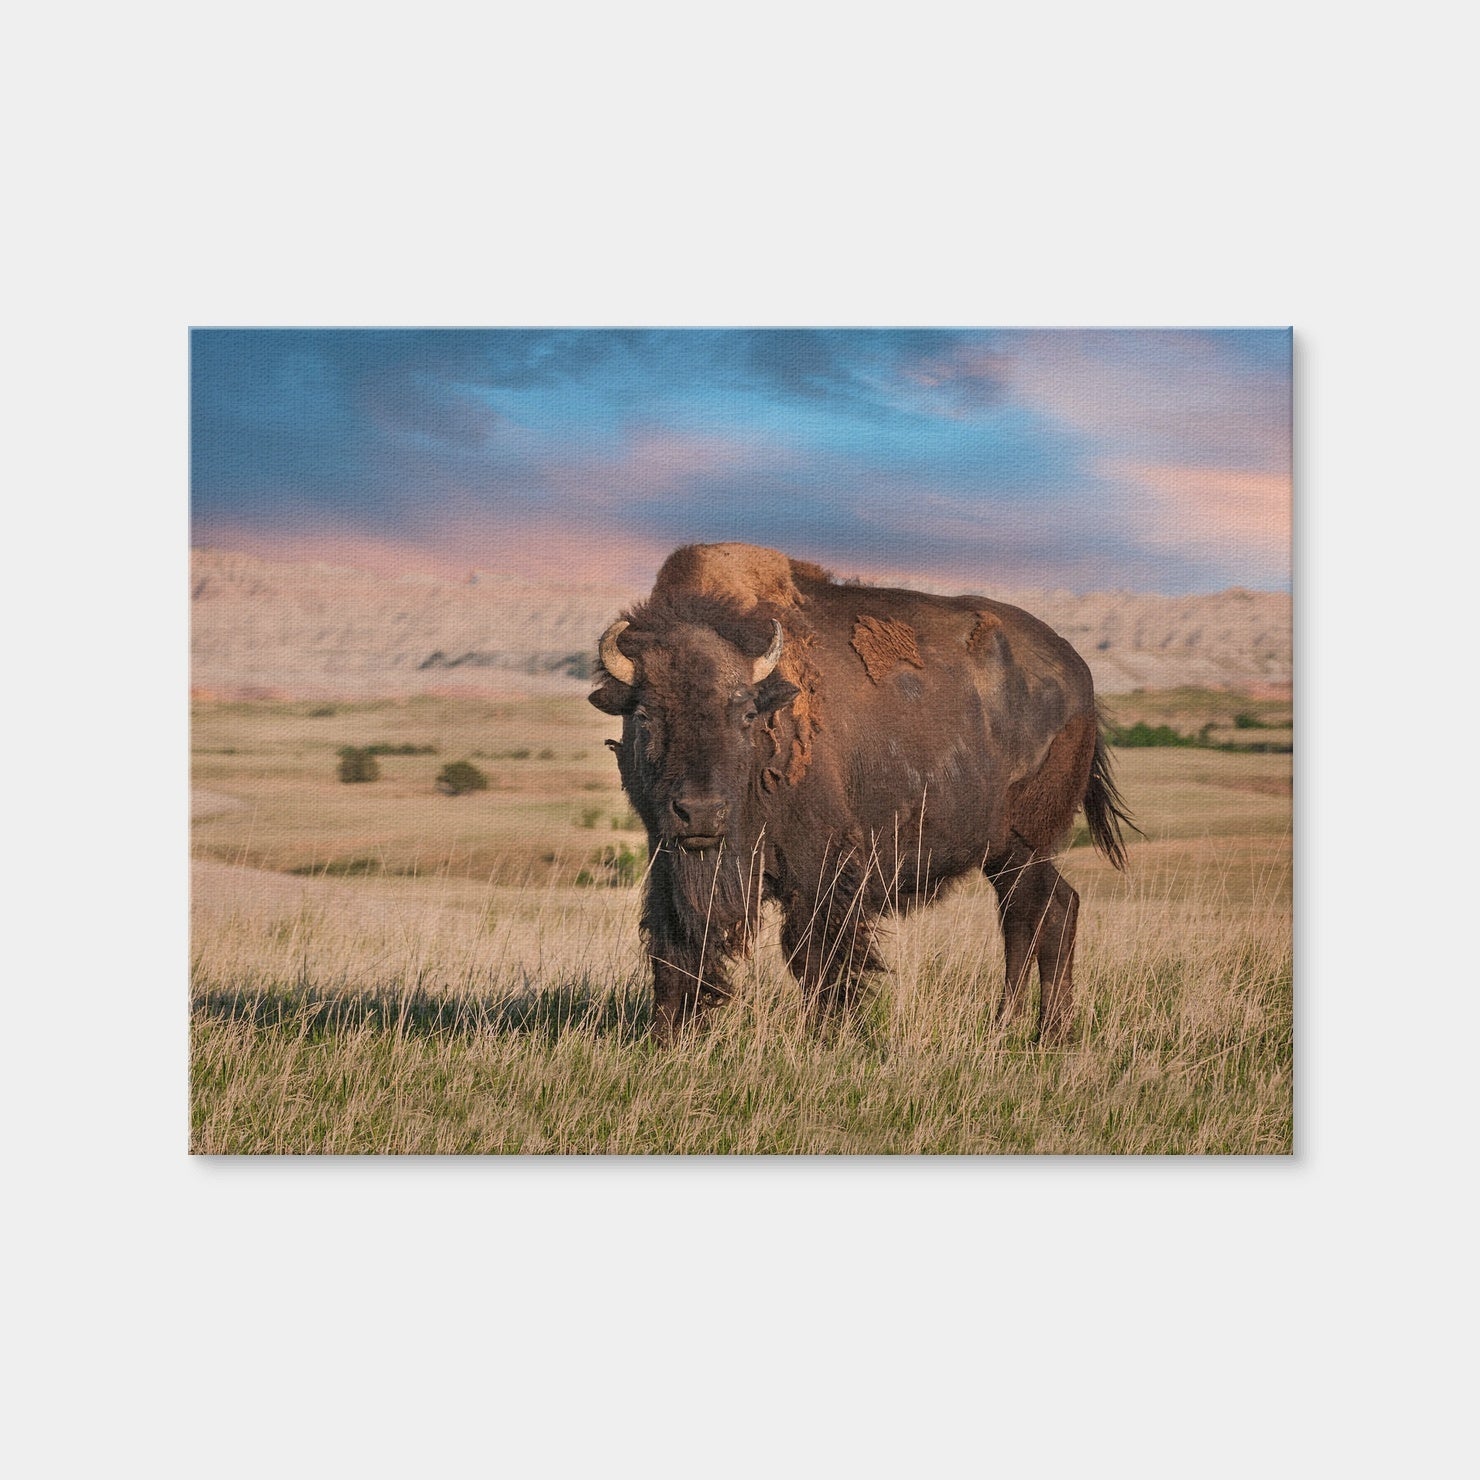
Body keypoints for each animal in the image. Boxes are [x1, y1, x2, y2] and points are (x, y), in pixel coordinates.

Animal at [589, 542, 1135, 1044]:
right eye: (644, 715)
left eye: (745, 714)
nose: (700, 813)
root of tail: (1081, 679)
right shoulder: (666, 859)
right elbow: (673, 944)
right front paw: (667, 1036)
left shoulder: (821, 867)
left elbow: (817, 953)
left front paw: (829, 1034)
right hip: (1009, 855)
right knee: (1046, 913)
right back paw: (1025, 1029)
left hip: (1026, 848)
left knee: (1035, 916)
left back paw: (1039, 1031)